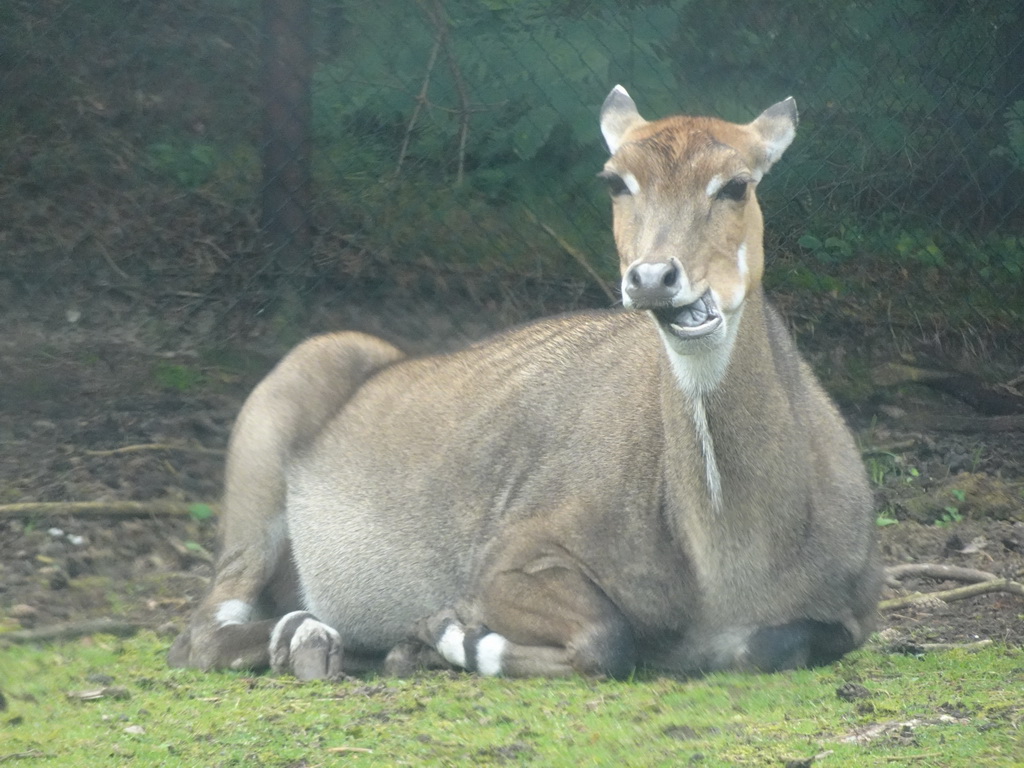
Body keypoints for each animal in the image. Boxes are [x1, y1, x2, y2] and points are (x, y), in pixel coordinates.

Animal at [169, 87, 880, 684]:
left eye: (736, 184)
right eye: (616, 181)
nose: (654, 278)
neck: (726, 560)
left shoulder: (853, 613)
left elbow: (774, 642)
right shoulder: (506, 563)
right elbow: (608, 639)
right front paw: (448, 635)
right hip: (261, 485)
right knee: (199, 633)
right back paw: (308, 638)